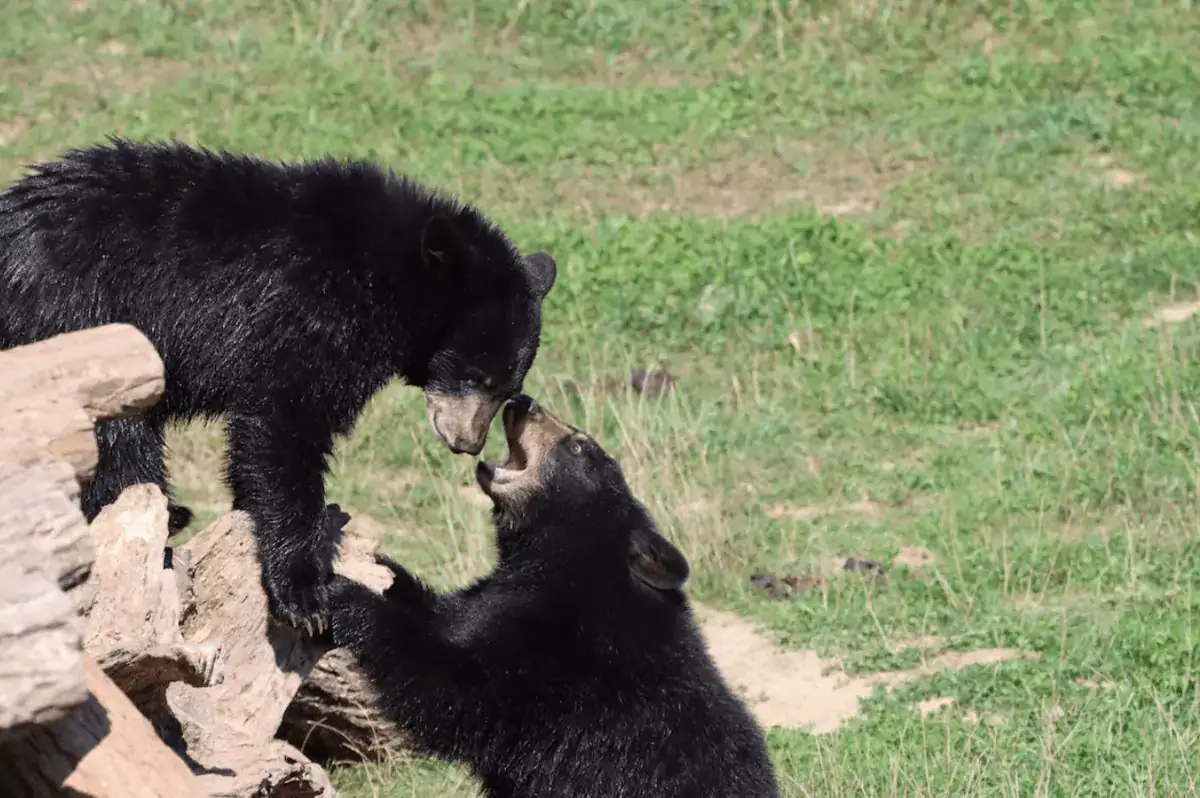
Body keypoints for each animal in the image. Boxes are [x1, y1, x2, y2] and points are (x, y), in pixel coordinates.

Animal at [0, 138, 557, 633]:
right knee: (121, 443)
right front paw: (303, 592)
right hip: (78, 326)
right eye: (477, 376)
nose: (468, 443)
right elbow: (285, 423)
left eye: (507, 388)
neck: (383, 276)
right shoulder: (310, 315)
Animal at [327, 394, 780, 797]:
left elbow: (453, 690)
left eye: (579, 444)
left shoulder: (554, 664)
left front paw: (347, 597)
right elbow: (451, 615)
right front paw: (373, 564)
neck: (565, 563)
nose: (522, 400)